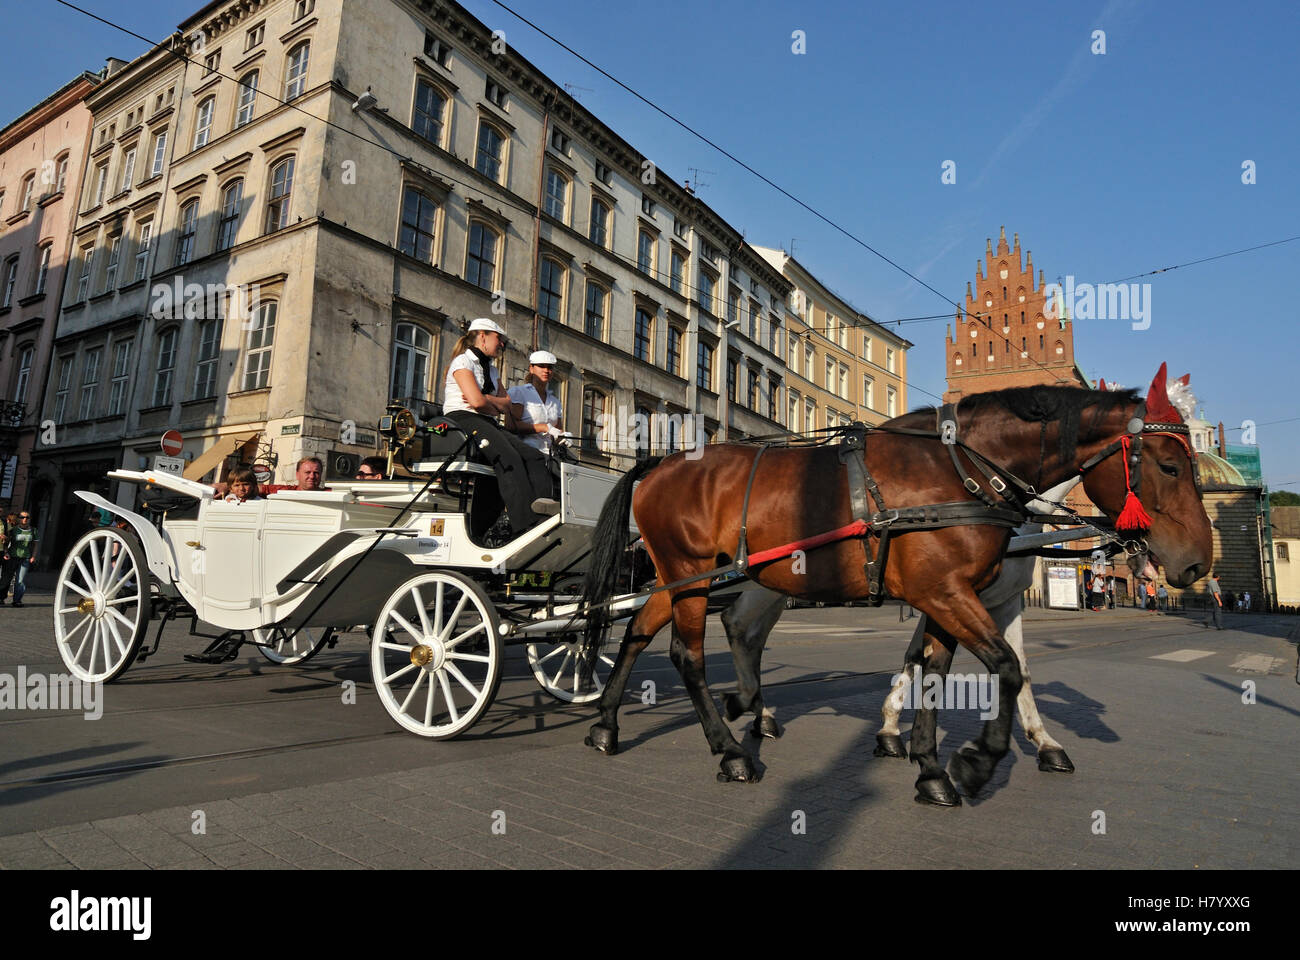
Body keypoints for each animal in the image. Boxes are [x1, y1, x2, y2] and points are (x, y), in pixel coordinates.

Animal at [579, 361, 1206, 796]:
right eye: (1170, 466)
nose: (1197, 563)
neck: (961, 469)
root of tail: (659, 463)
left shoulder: (953, 596)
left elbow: (938, 672)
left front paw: (929, 767)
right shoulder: (947, 594)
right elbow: (1005, 667)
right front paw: (973, 763)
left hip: (688, 578)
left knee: (642, 630)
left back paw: (612, 723)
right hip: (691, 577)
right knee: (688, 655)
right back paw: (731, 747)